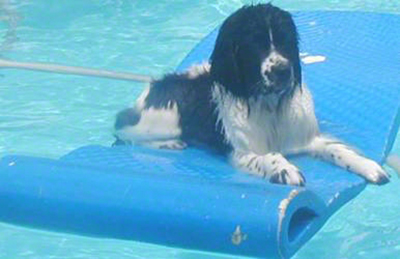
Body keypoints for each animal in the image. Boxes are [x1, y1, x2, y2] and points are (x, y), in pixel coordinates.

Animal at [114, 4, 390, 187]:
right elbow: (271, 155)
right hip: (163, 120)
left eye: (285, 40)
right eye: (253, 45)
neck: (269, 105)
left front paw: (368, 165)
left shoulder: (308, 138)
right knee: (122, 133)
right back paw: (169, 143)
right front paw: (285, 169)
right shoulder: (242, 153)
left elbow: (338, 150)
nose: (283, 71)